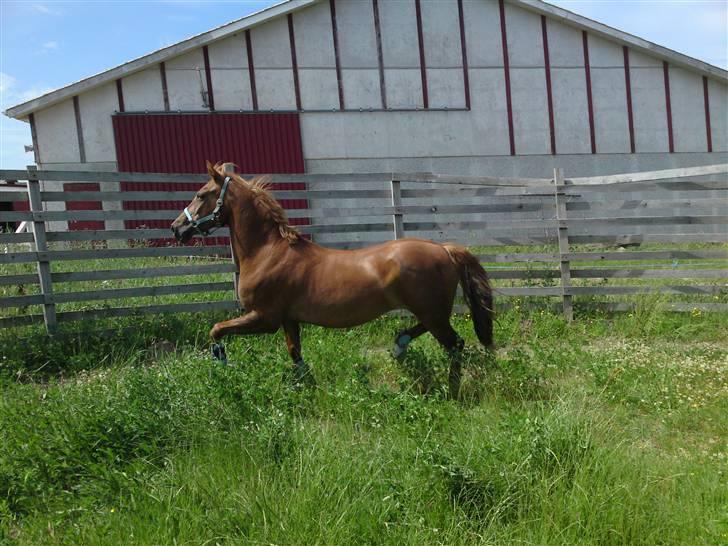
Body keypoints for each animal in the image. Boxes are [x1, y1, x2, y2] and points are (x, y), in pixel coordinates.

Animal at [169, 160, 494, 396]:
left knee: (455, 345)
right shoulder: (288, 320)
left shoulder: (264, 317)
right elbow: (295, 354)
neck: (268, 252)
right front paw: (305, 389)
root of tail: (444, 249)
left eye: (201, 194)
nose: (176, 228)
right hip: (431, 311)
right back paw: (399, 345)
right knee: (431, 334)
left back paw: (451, 390)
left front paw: (221, 363)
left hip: (432, 311)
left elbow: (216, 330)